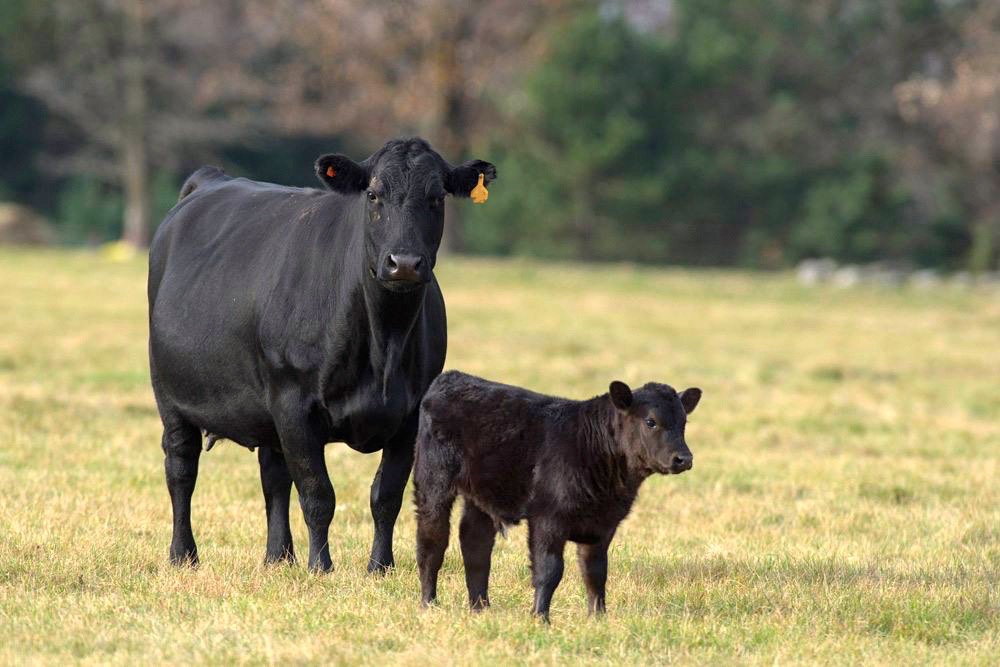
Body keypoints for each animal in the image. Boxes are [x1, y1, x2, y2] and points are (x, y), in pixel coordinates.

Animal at [147, 137, 496, 576]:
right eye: (373, 194)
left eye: (436, 197)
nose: (404, 264)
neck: (383, 344)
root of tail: (210, 179)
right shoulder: (294, 403)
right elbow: (317, 493)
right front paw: (321, 566)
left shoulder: (410, 414)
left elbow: (386, 495)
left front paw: (380, 567)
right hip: (171, 395)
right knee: (181, 469)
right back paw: (183, 555)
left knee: (273, 475)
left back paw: (279, 556)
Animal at [410, 374, 700, 624]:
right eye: (650, 421)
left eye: (684, 423)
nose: (683, 458)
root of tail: (451, 377)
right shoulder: (548, 518)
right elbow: (549, 570)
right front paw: (541, 618)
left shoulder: (604, 524)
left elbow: (595, 572)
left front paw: (598, 618)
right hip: (433, 482)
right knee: (432, 542)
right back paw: (429, 604)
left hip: (481, 495)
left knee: (475, 544)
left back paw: (480, 608)